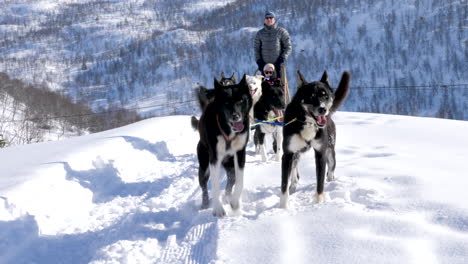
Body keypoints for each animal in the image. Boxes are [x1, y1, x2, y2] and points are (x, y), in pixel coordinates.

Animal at [280, 70, 350, 208]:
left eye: (325, 96)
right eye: (311, 97)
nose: (323, 109)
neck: (308, 122)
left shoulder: (320, 153)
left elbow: (320, 183)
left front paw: (318, 204)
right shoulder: (288, 154)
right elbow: (284, 185)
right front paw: (283, 207)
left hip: (330, 153)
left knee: (330, 172)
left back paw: (331, 183)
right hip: (296, 155)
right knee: (294, 174)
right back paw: (293, 187)